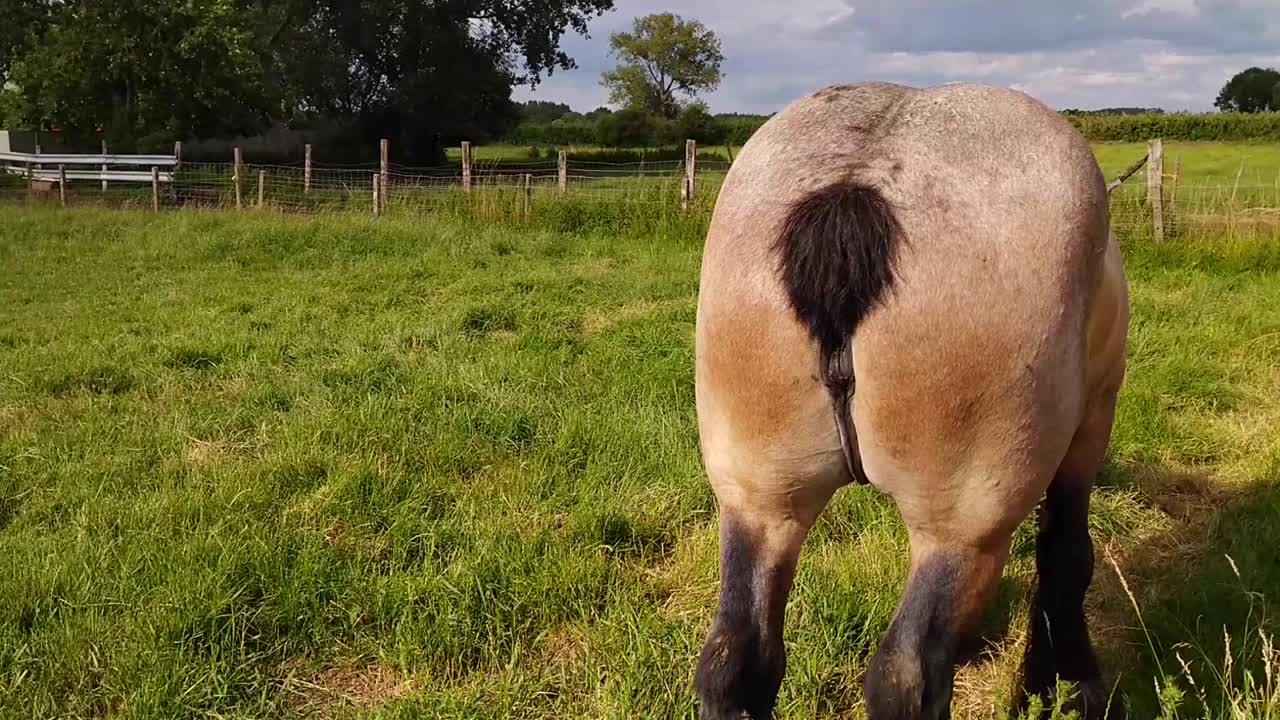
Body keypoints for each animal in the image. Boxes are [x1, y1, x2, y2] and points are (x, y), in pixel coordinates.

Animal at [692, 82, 1129, 720]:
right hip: (958, 529)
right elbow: (1067, 558)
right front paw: (1071, 685)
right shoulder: (1091, 425)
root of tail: (853, 191)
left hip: (761, 499)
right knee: (904, 676)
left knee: (732, 661)